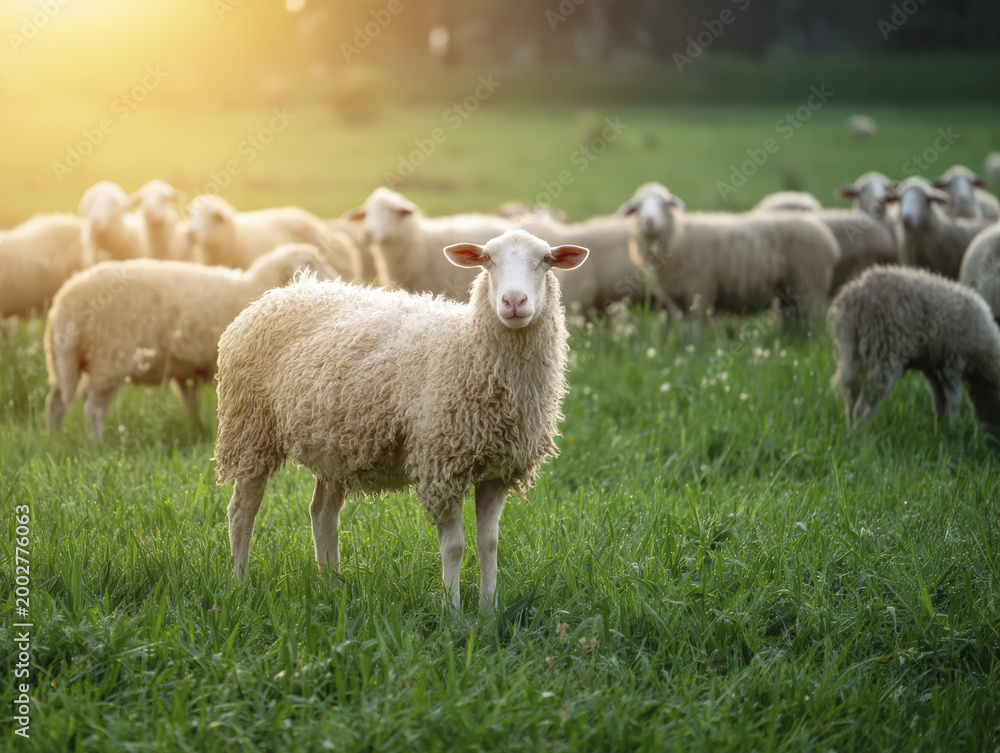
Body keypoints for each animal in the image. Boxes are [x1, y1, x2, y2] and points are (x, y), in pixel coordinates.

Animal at [45, 244, 337, 440]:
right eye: (311, 265)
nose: (338, 281)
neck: (253, 288)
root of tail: (65, 304)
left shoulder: (189, 372)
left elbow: (192, 405)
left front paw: (197, 429)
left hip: (64, 360)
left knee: (56, 400)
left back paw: (55, 437)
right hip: (110, 355)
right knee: (92, 407)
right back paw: (96, 442)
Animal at [213, 230, 589, 611]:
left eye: (545, 260)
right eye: (487, 260)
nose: (514, 300)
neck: (468, 349)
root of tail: (282, 292)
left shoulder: (498, 471)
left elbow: (489, 543)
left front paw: (488, 610)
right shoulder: (442, 465)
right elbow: (455, 546)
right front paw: (453, 612)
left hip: (333, 442)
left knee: (322, 513)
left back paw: (331, 587)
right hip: (249, 427)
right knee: (242, 510)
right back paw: (240, 584)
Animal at [617, 182, 840, 334]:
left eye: (664, 204)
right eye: (638, 207)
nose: (650, 221)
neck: (677, 238)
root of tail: (828, 238)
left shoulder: (700, 291)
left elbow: (696, 332)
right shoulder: (681, 301)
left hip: (808, 284)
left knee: (810, 323)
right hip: (788, 292)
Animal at [828, 265, 1000, 433]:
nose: (987, 436)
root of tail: (852, 299)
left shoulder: (931, 366)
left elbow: (939, 400)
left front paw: (939, 429)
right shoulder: (954, 360)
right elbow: (954, 400)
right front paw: (954, 428)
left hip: (850, 354)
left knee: (851, 400)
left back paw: (850, 434)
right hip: (884, 351)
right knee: (863, 407)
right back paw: (862, 438)